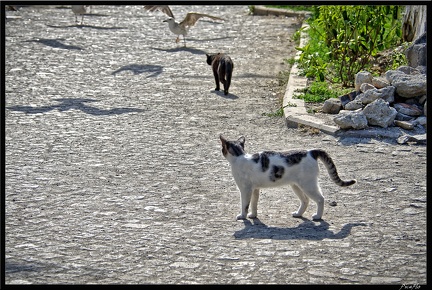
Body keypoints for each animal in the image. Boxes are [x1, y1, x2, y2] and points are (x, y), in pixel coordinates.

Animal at [221, 135, 356, 221]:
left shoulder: (246, 189)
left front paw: (242, 216)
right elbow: (254, 204)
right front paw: (253, 215)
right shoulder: (255, 189)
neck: (239, 157)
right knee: (305, 200)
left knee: (320, 199)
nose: (220, 150)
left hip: (308, 185)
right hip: (296, 185)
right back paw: (298, 214)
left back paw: (318, 216)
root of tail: (311, 151)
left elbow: (244, 204)